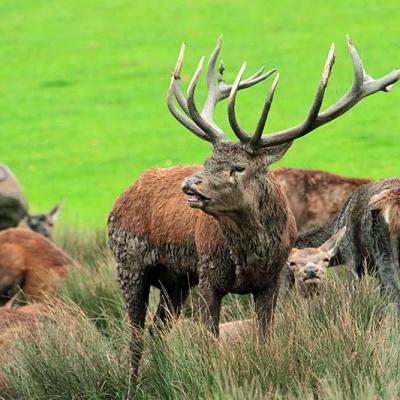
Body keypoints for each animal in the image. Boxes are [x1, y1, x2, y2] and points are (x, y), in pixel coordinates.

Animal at [108, 35, 400, 382]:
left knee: (157, 328)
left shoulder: (270, 280)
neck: (249, 254)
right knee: (135, 336)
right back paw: (134, 384)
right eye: (207, 161)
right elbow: (211, 339)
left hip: (174, 282)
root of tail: (122, 197)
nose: (190, 184)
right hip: (128, 262)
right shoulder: (209, 277)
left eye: (238, 167)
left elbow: (265, 336)